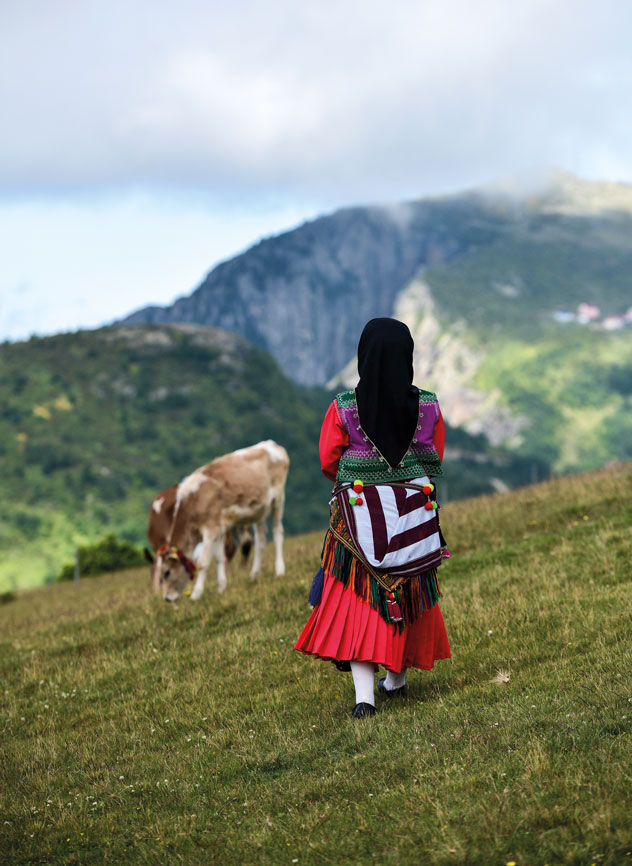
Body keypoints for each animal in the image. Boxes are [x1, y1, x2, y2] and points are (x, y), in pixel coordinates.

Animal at [158, 438, 288, 600]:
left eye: (166, 572)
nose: (167, 598)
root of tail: (271, 444)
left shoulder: (210, 528)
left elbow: (203, 562)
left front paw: (196, 594)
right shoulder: (219, 528)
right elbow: (219, 557)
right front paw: (220, 588)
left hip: (278, 499)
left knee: (277, 532)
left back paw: (280, 570)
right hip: (260, 510)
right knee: (261, 539)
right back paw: (254, 575)